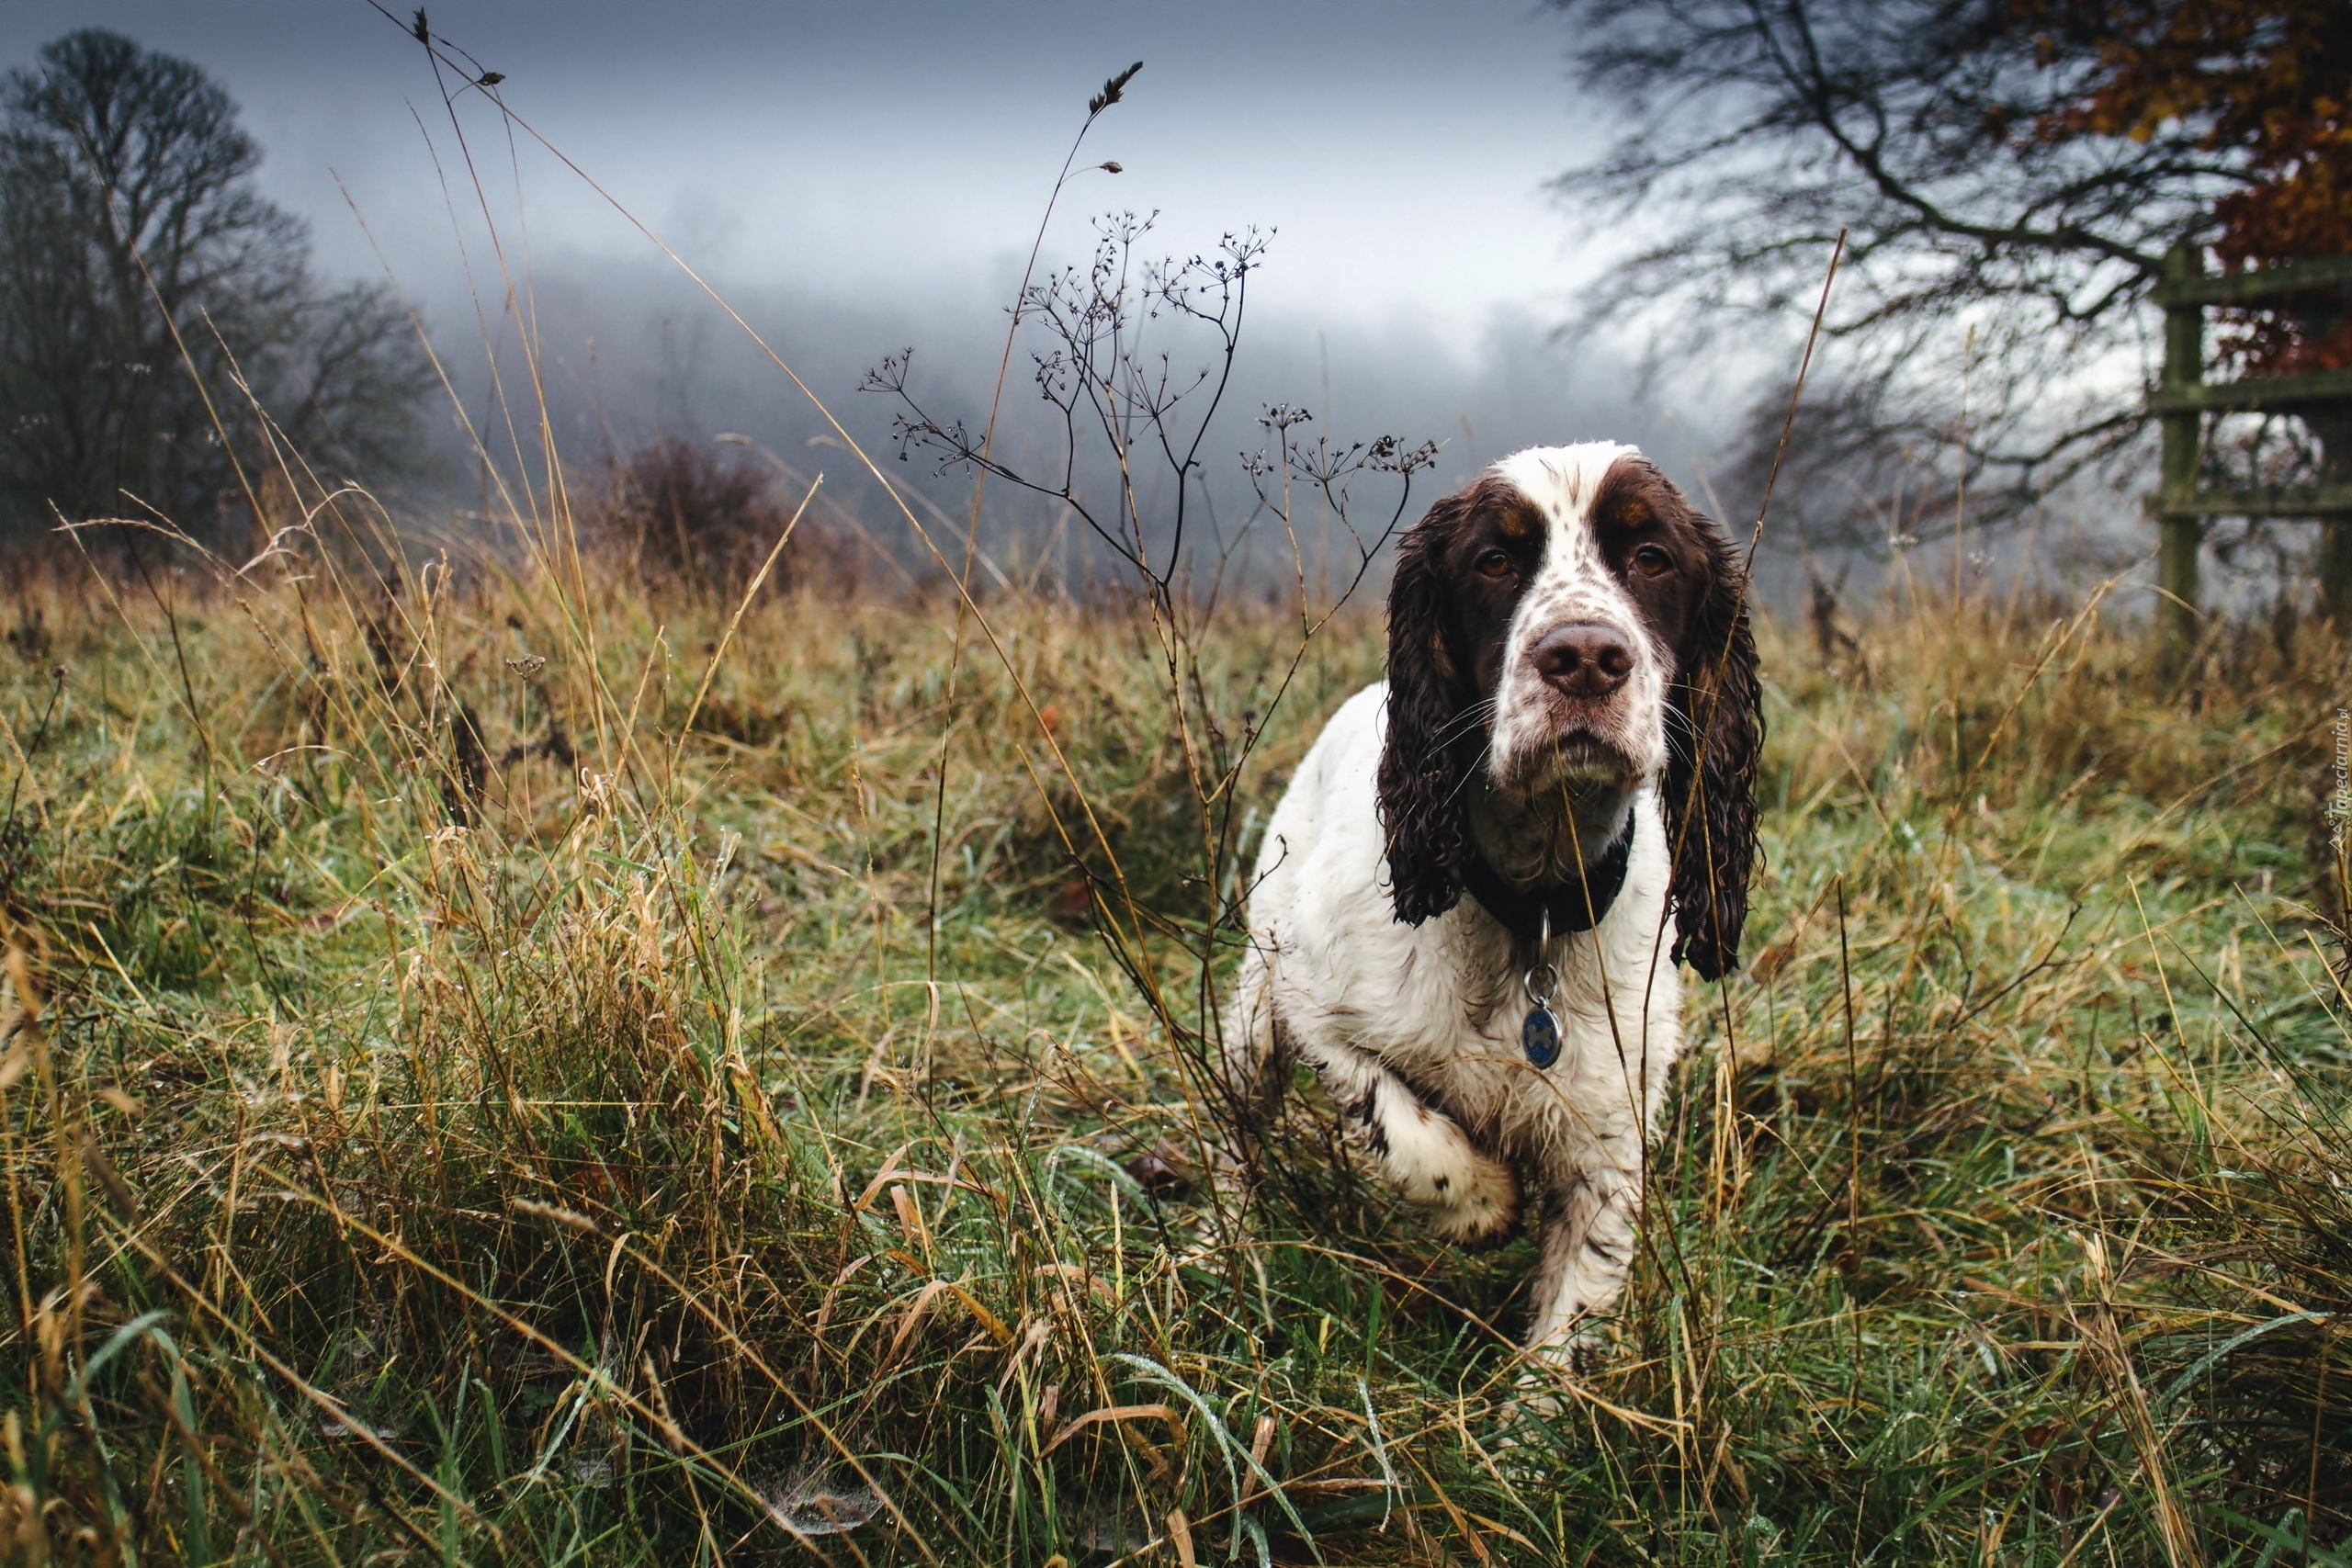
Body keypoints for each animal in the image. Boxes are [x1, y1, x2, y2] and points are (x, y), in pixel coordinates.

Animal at [1232, 439, 1769, 1363]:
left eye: (1651, 557)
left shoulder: (1611, 1141)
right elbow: (1397, 1117)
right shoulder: (1313, 1003)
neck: (1535, 910)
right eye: (1493, 561)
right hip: (1252, 1013)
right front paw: (1482, 1200)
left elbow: (1568, 1333)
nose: (1583, 657)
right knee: (1230, 1137)